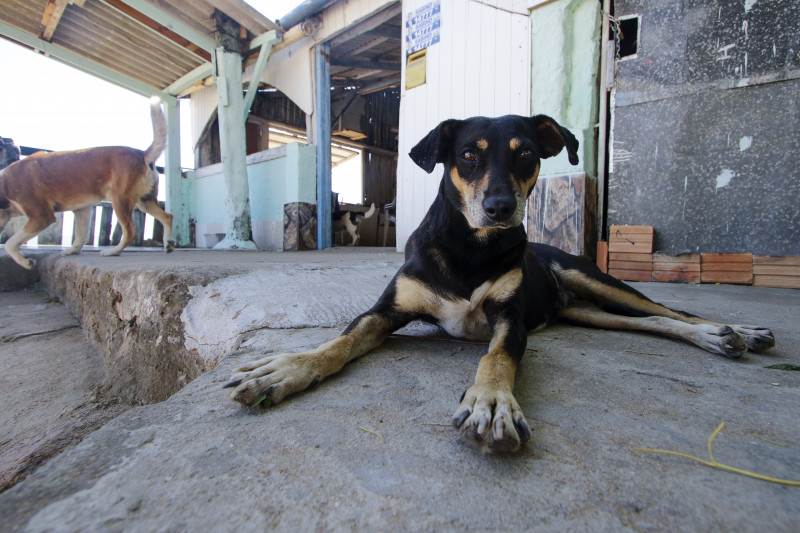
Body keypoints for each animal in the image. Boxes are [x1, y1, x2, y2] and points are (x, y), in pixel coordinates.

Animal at [0, 97, 174, 268]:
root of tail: (142, 155)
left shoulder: (41, 216)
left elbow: (10, 243)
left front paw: (25, 261)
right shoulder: (82, 210)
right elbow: (80, 234)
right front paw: (73, 251)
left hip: (120, 200)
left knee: (131, 232)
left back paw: (113, 251)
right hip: (145, 201)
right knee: (167, 216)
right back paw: (169, 243)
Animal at [225, 114, 776, 450]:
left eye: (526, 155)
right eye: (468, 155)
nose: (500, 209)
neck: (472, 246)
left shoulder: (510, 320)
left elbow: (496, 357)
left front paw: (491, 403)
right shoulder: (385, 311)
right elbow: (339, 342)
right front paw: (287, 370)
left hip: (593, 277)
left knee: (672, 312)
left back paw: (733, 332)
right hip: (587, 310)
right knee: (650, 323)